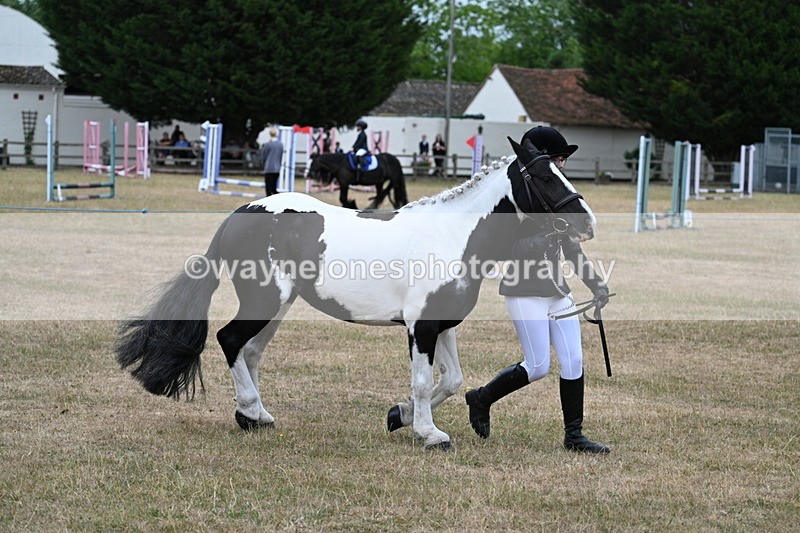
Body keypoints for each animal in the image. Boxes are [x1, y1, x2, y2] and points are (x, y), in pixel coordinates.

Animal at [115, 136, 596, 451]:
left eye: (560, 169)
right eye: (542, 175)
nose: (588, 222)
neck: (453, 234)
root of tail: (240, 213)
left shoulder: (442, 323)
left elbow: (452, 379)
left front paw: (399, 415)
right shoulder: (420, 326)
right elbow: (424, 381)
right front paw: (429, 434)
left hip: (276, 305)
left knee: (249, 351)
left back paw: (254, 417)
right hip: (264, 300)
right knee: (229, 340)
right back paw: (251, 412)